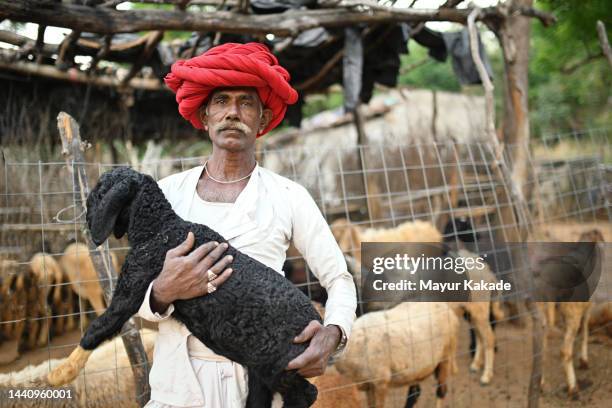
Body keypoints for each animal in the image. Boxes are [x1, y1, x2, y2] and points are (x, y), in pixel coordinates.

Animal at [47, 167, 322, 408]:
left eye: (99, 191)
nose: (85, 218)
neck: (159, 228)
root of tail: (317, 321)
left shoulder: (129, 290)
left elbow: (98, 327)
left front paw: (61, 373)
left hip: (278, 364)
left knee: (307, 392)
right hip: (260, 369)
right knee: (260, 397)